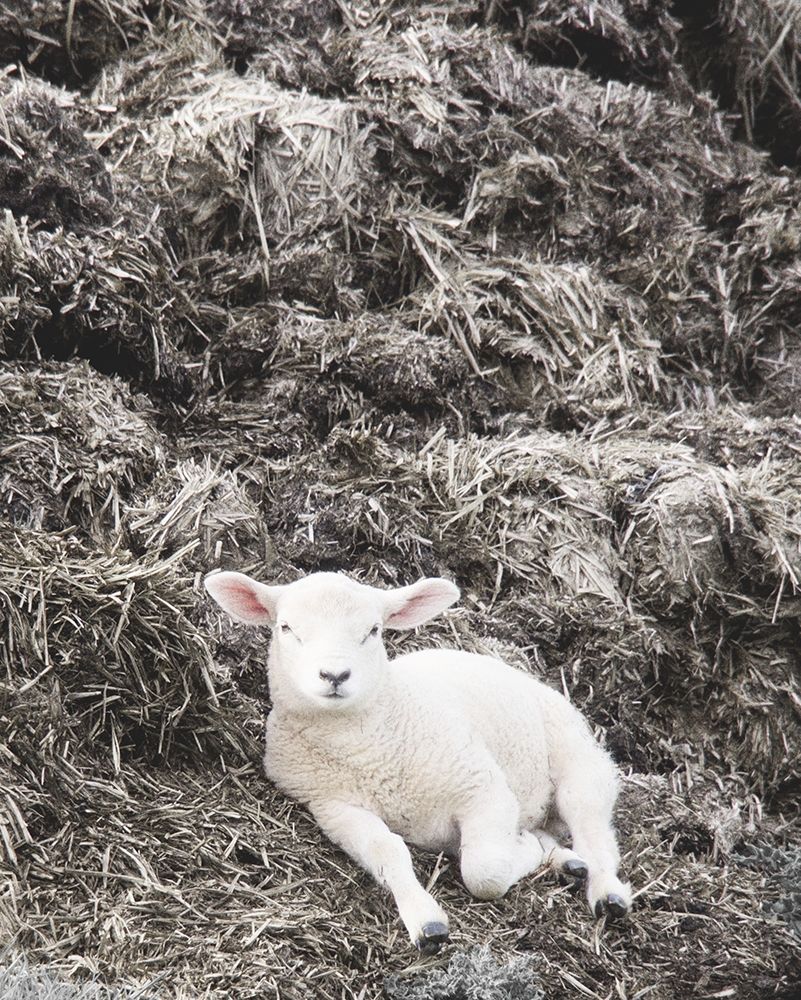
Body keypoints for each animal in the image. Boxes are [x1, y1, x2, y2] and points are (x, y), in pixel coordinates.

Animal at [204, 569, 632, 954]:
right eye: (286, 627)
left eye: (373, 630)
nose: (335, 674)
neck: (368, 745)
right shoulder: (332, 805)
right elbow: (386, 850)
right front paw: (427, 924)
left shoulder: (481, 787)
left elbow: (485, 871)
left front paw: (522, 851)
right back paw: (565, 863)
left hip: (577, 759)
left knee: (593, 829)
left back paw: (606, 891)